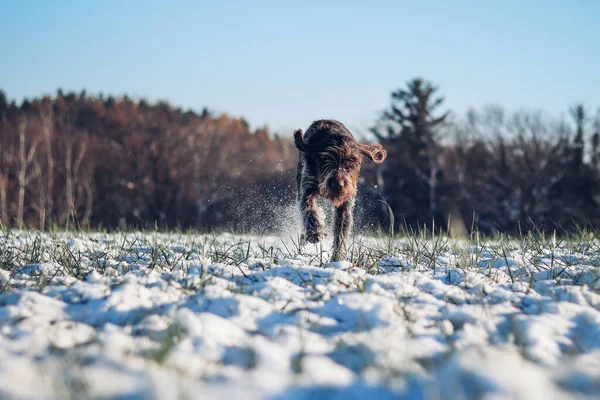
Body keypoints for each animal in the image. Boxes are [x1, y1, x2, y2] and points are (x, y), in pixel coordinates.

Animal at [292, 119, 386, 262]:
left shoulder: (345, 205)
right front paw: (315, 232)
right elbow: (309, 209)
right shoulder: (307, 189)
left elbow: (341, 231)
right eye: (326, 159)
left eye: (351, 161)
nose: (338, 184)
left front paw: (337, 257)